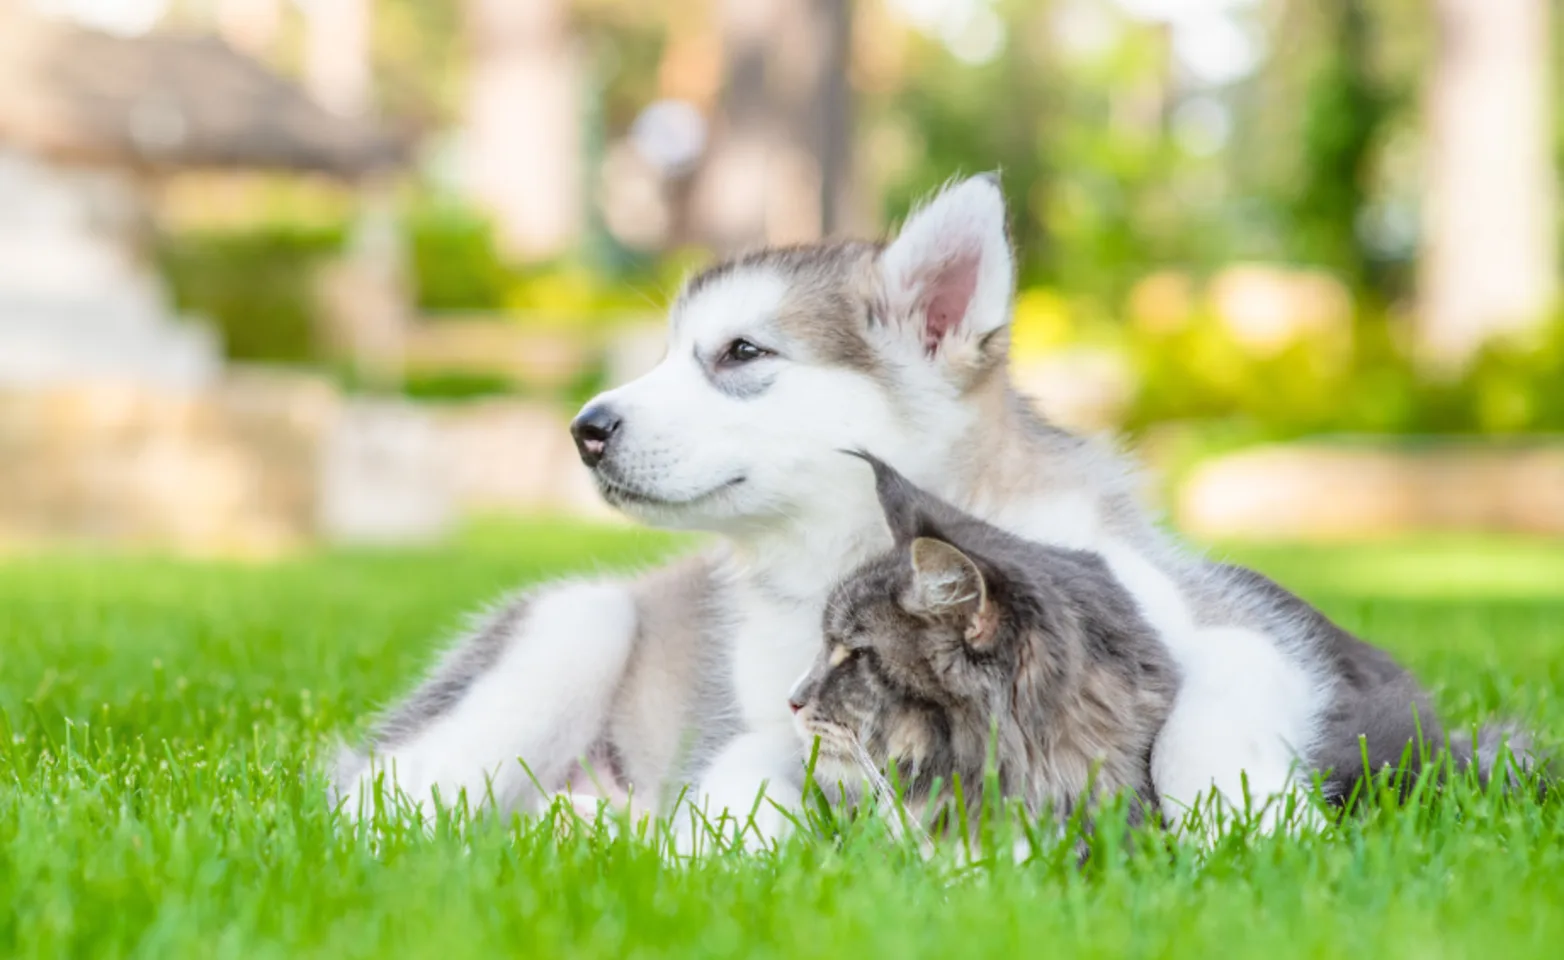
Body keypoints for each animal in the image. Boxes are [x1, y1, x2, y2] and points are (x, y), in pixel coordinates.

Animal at [326, 179, 1526, 844]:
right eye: (668, 354)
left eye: (741, 354)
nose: (584, 428)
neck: (846, 555)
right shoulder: (775, 716)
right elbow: (743, 771)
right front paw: (700, 846)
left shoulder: (1235, 633)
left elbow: (1206, 717)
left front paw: (1250, 826)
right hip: (571, 632)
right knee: (373, 798)